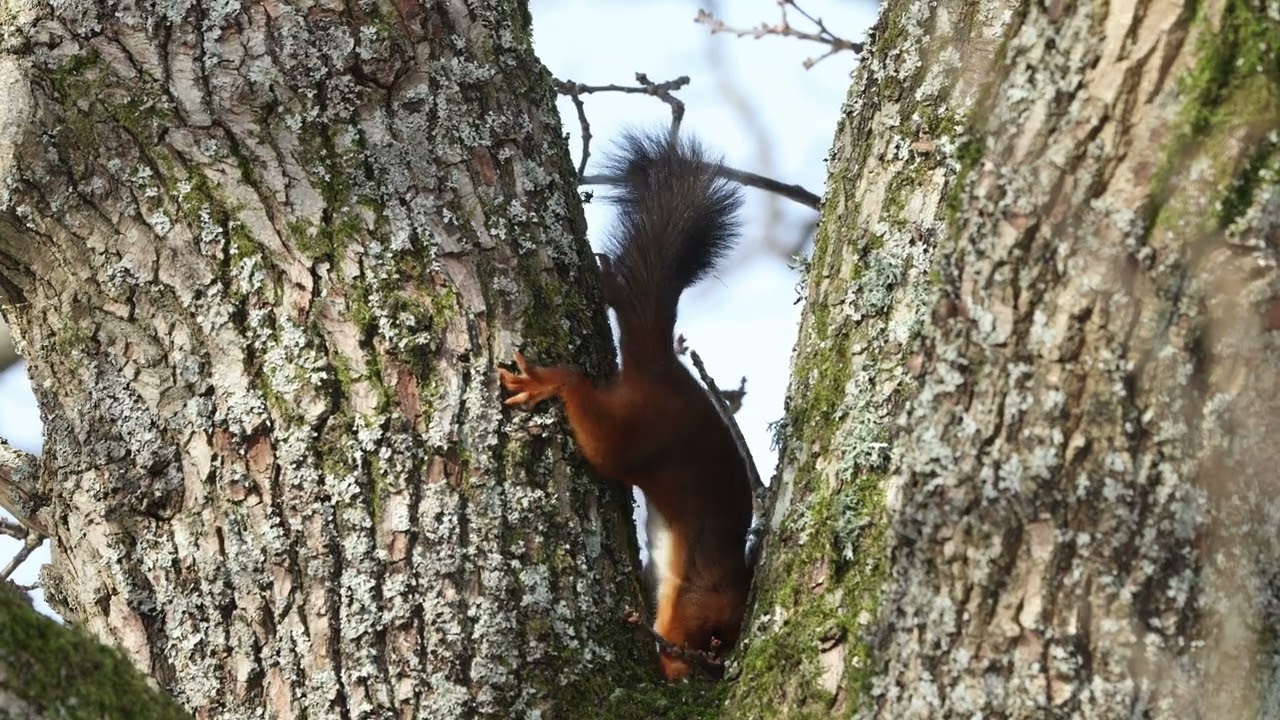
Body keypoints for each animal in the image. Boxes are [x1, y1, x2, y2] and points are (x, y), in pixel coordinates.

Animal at [498, 132, 754, 681]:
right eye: (708, 640)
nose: (684, 673)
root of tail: (661, 365)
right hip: (633, 438)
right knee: (592, 421)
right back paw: (554, 381)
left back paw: (608, 280)